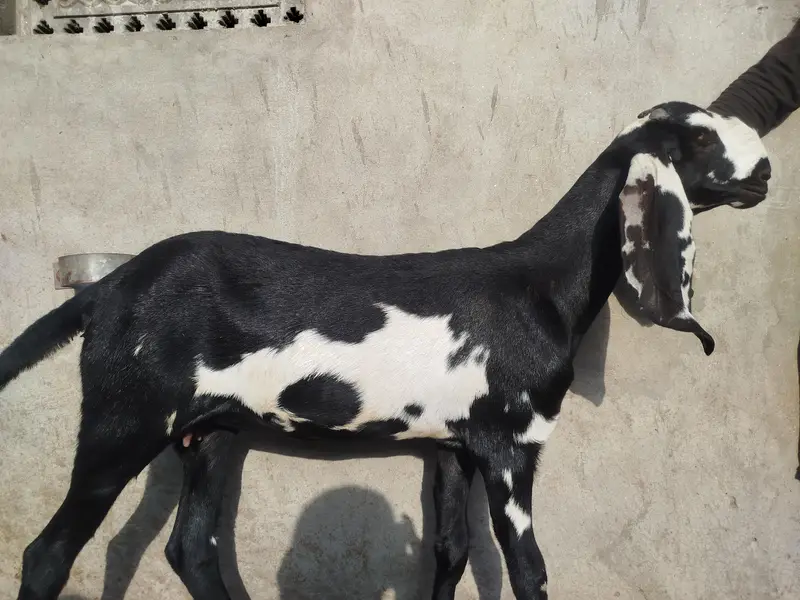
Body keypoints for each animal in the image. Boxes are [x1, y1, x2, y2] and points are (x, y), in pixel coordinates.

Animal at [0, 101, 771, 600]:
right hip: (124, 417)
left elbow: (450, 554)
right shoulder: (509, 446)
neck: (539, 284)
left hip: (210, 431)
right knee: (48, 553)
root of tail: (108, 288)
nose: (765, 170)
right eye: (700, 139)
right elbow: (526, 568)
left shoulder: (454, 447)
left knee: (192, 548)